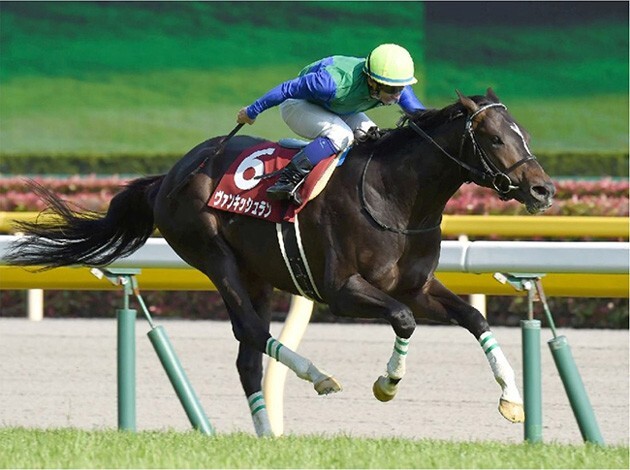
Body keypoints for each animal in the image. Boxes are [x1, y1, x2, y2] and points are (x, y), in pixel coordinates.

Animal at [6, 89, 556, 436]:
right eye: (495, 138)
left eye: (525, 133)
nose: (543, 189)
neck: (396, 195)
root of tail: (169, 175)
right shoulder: (342, 290)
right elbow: (403, 320)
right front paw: (386, 384)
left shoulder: (415, 285)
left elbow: (474, 318)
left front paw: (511, 400)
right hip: (212, 255)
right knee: (250, 331)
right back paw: (317, 377)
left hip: (259, 274)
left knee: (248, 355)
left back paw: (268, 433)